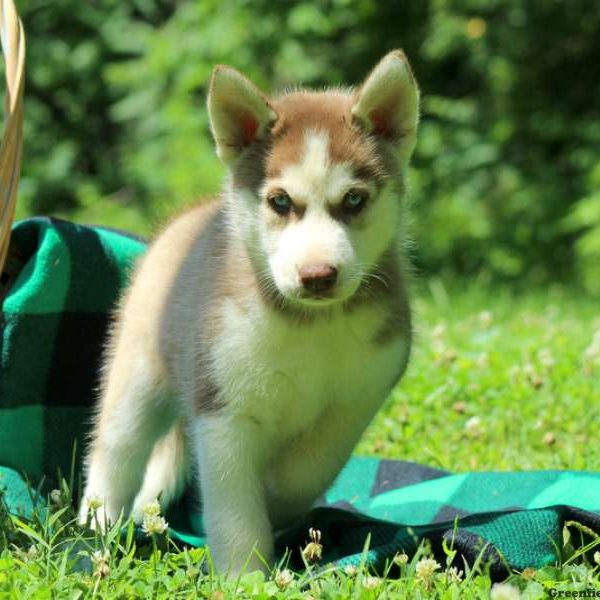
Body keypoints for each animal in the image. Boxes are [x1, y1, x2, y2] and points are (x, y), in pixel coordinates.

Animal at [79, 49, 420, 576]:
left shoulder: (359, 395)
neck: (311, 326)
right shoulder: (224, 409)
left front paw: (278, 495)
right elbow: (234, 503)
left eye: (354, 199)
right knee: (115, 449)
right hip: (137, 373)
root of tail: (192, 214)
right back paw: (96, 525)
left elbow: (309, 467)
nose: (318, 275)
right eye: (280, 201)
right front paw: (246, 576)